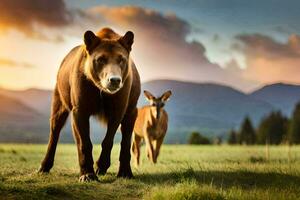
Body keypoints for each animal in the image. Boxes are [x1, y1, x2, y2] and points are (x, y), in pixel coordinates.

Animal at [38, 27, 141, 182]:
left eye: (121, 59)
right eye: (100, 59)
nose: (114, 80)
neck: (100, 90)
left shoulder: (119, 107)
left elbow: (110, 140)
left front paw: (104, 166)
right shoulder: (80, 109)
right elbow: (84, 142)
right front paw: (87, 174)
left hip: (131, 109)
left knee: (126, 137)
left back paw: (123, 171)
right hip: (60, 99)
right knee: (55, 130)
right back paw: (44, 166)